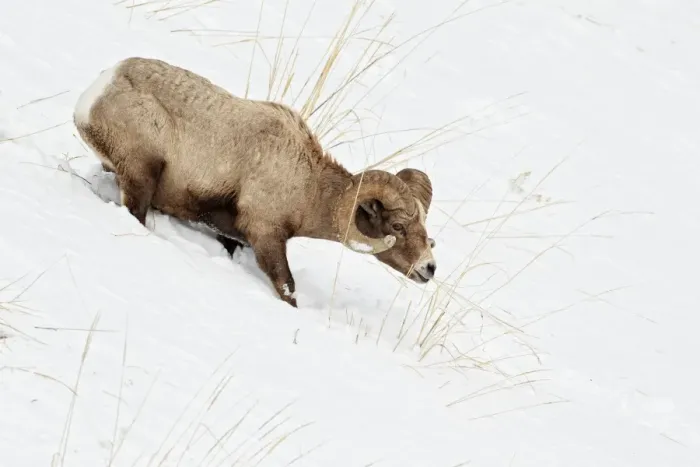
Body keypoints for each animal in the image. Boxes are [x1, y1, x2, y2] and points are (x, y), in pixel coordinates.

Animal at [73, 57, 437, 307]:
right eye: (398, 227)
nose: (429, 268)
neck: (309, 187)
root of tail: (100, 88)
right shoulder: (266, 235)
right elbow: (287, 287)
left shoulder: (234, 237)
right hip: (142, 174)